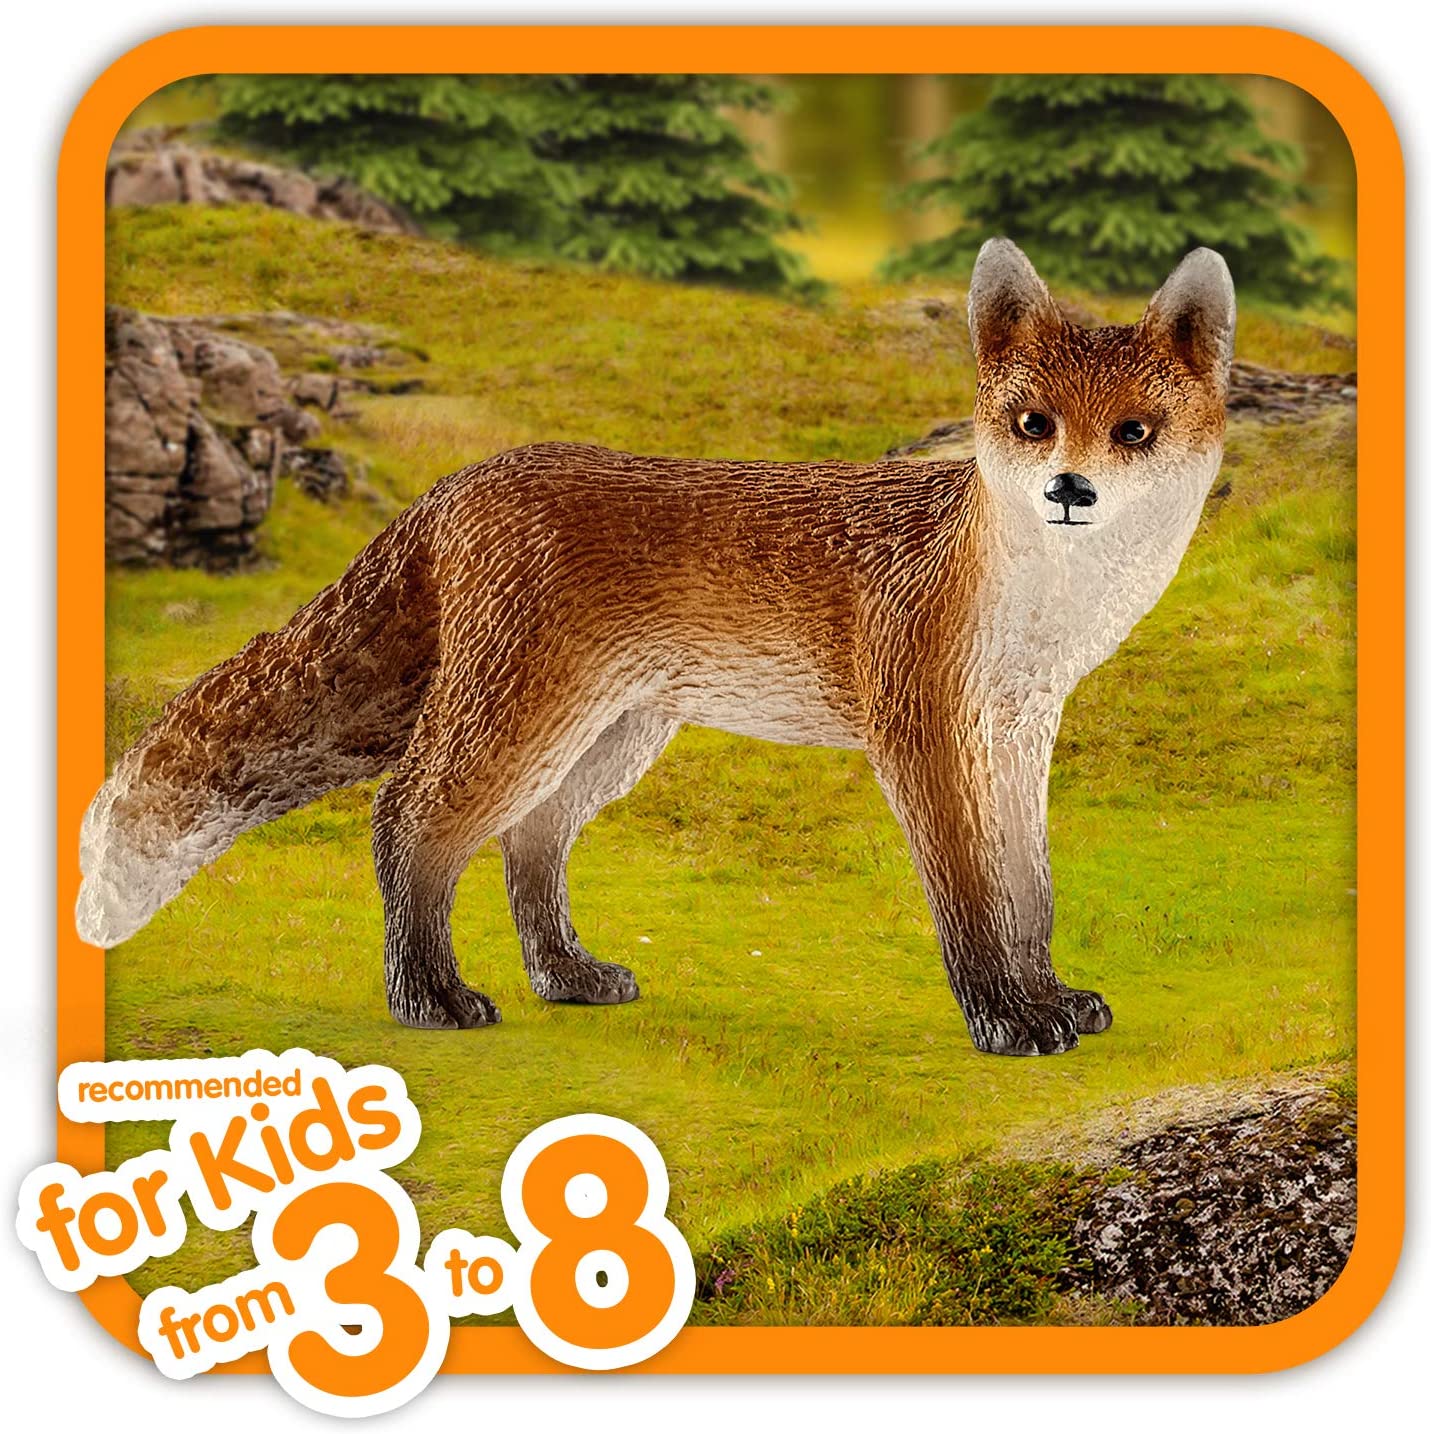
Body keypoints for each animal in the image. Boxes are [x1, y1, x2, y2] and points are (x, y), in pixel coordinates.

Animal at [76, 238, 1234, 1057]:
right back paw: (429, 998)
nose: (1070, 490)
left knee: (527, 843)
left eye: (1133, 433)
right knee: (407, 821)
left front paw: (1051, 998)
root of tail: (458, 484)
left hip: (610, 739)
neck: (1033, 607)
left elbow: (1029, 894)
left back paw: (566, 976)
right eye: (1034, 424)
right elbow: (972, 899)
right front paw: (1002, 1019)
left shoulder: (1017, 736)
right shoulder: (920, 736)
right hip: (523, 722)